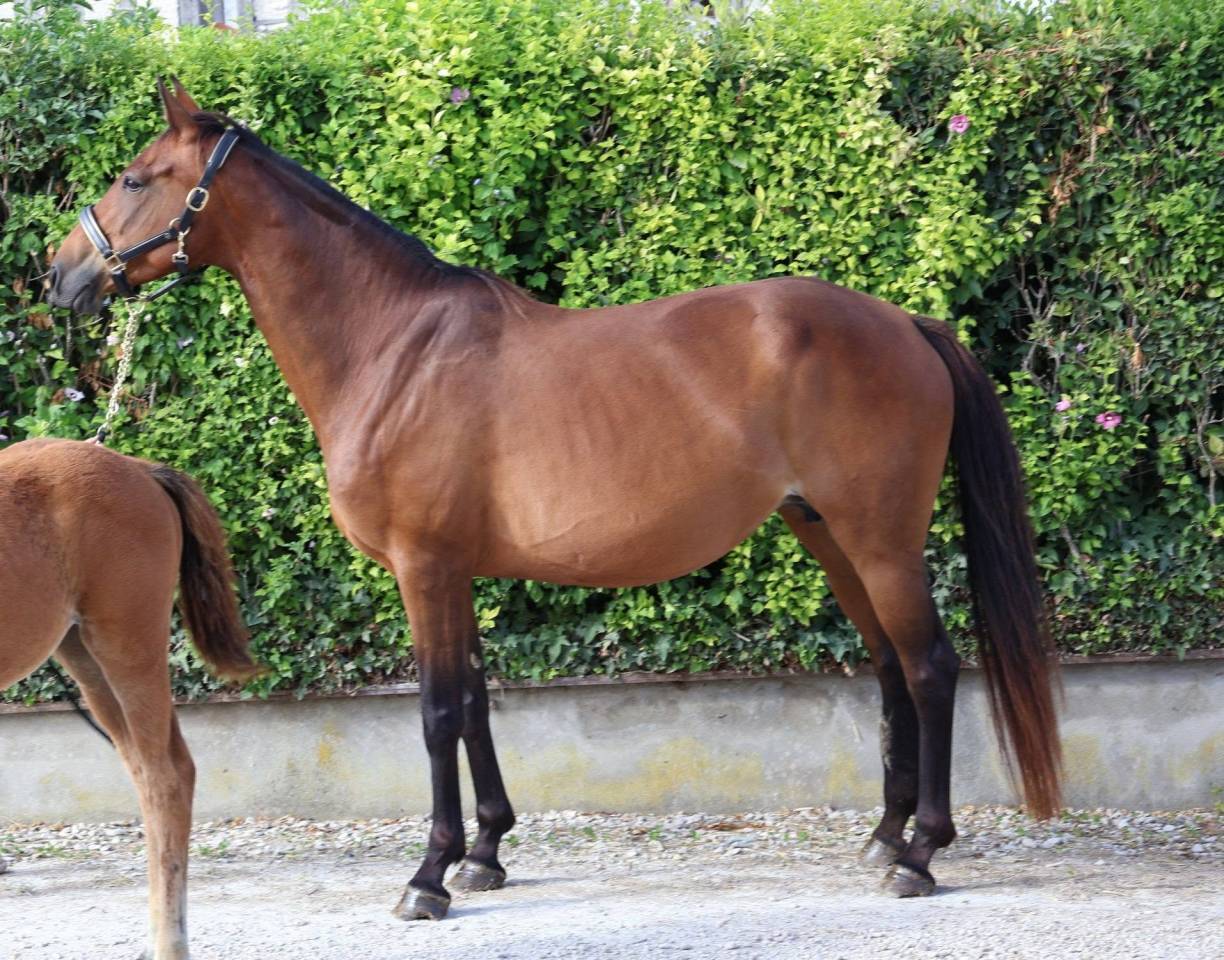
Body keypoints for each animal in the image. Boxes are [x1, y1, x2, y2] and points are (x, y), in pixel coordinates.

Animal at [0, 438, 259, 959]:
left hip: (128, 645)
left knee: (166, 778)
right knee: (146, 769)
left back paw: (169, 943)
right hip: (84, 657)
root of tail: (140, 469)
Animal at [47, 80, 1061, 917]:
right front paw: (485, 855)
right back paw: (886, 836)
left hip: (880, 538)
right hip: (828, 534)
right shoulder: (457, 570)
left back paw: (920, 855)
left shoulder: (425, 566)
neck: (392, 348)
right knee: (890, 668)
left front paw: (428, 876)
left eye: (136, 178)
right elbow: (475, 700)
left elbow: (436, 711)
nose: (61, 276)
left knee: (929, 667)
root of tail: (908, 325)